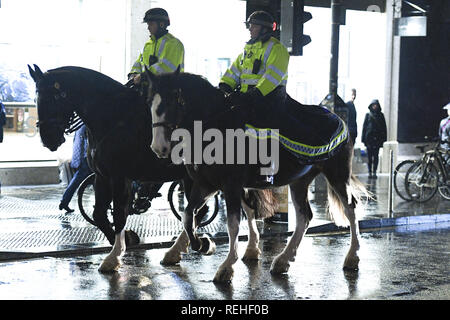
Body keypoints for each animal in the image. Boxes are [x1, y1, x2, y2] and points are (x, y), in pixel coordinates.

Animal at [146, 69, 368, 284]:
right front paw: (203, 245)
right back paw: (283, 260)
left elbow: (233, 224)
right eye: (151, 103)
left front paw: (226, 266)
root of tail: (338, 118)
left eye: (173, 101)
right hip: (300, 181)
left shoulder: (230, 184)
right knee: (304, 216)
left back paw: (352, 257)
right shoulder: (206, 183)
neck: (216, 125)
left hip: (337, 175)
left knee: (350, 209)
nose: (158, 148)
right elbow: (188, 215)